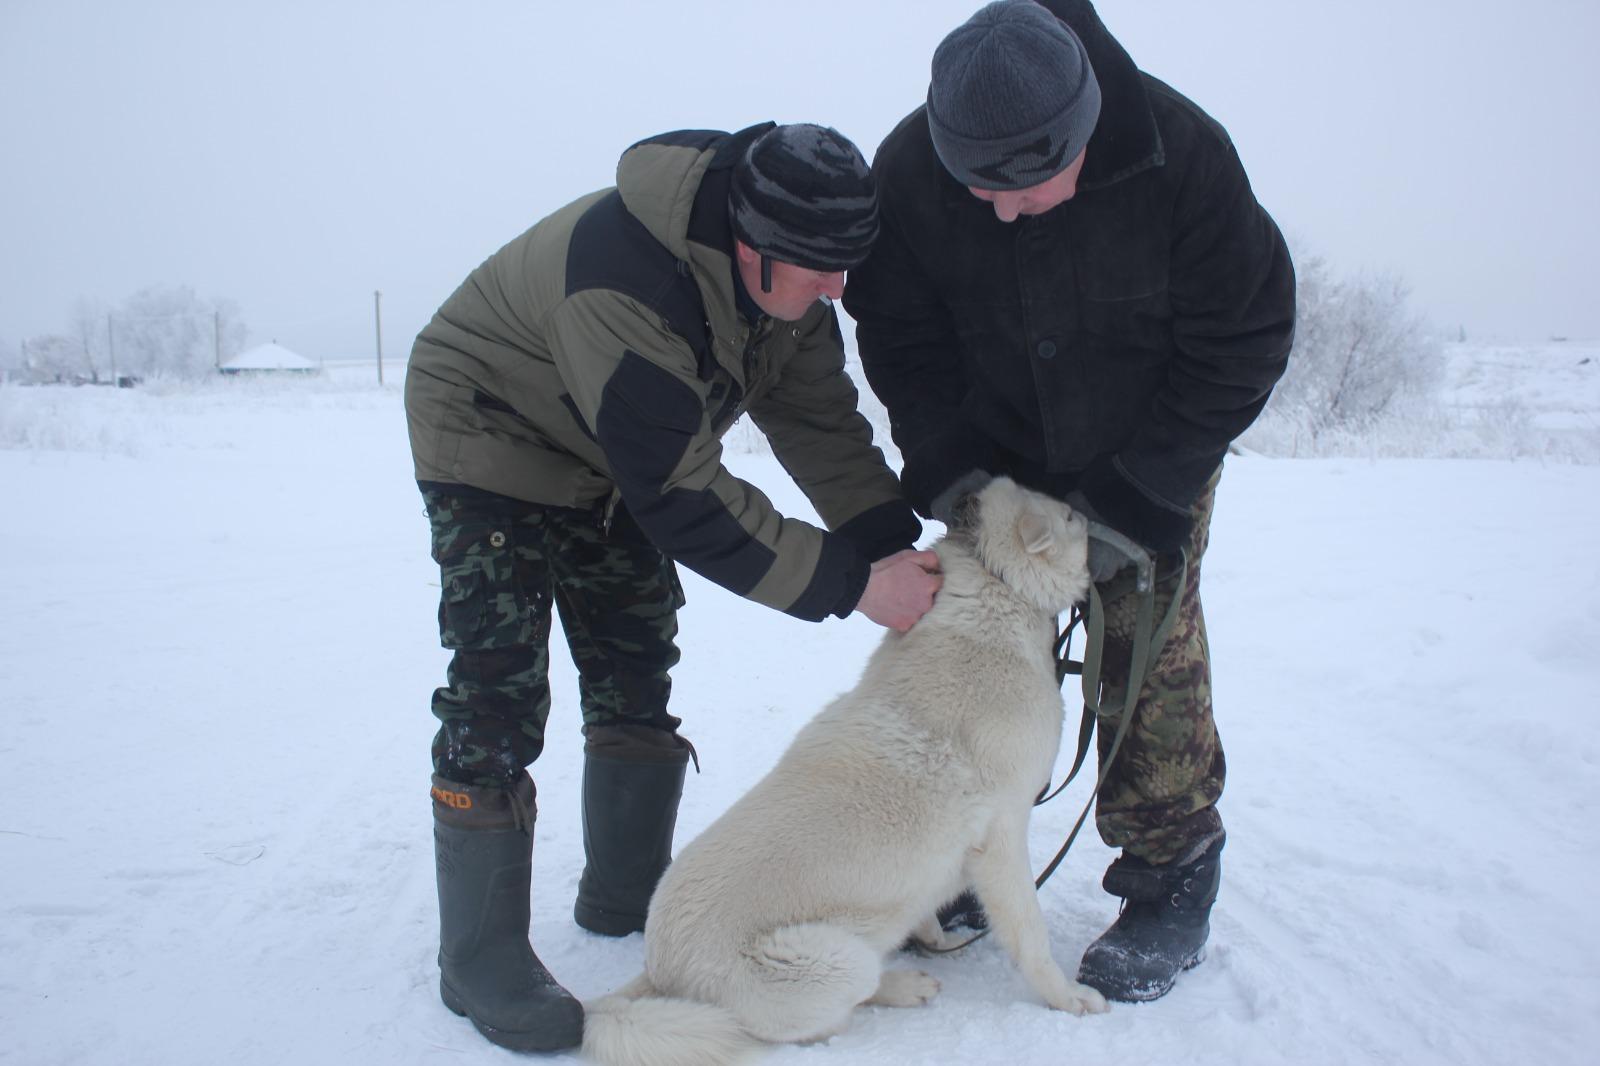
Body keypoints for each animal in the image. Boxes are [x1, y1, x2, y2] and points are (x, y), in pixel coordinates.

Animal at [582, 476, 1107, 1056]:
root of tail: (660, 969)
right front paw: (1069, 999)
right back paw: (907, 985)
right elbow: (1031, 936)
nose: (1095, 510)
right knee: (839, 1007)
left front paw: (933, 933)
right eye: (1070, 517)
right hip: (836, 961)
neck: (995, 582)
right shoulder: (1004, 837)